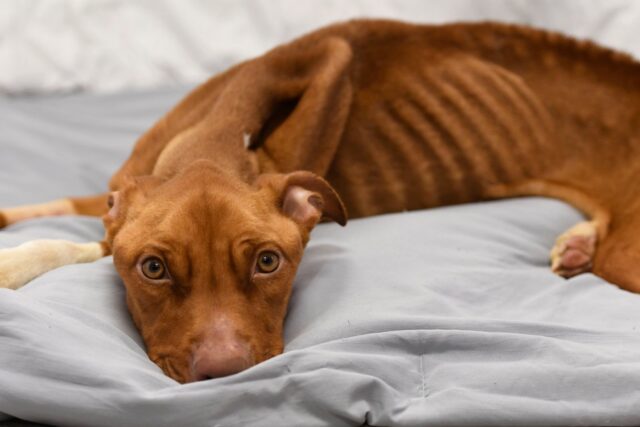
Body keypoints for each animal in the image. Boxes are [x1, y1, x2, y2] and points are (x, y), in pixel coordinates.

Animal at [1, 18, 640, 382]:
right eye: (153, 269)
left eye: (268, 262)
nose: (224, 373)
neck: (212, 141)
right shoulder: (117, 200)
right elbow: (67, 226)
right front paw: (15, 251)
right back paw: (577, 243)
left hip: (627, 256)